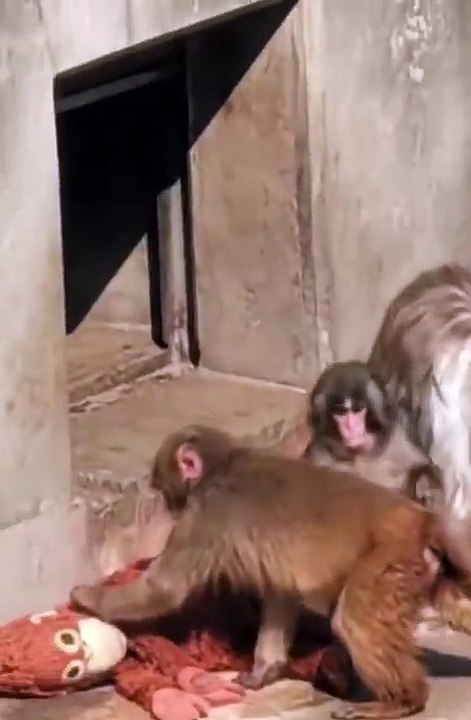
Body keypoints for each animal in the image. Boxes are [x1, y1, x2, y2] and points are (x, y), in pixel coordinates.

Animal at [70, 426, 471, 720]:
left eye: (164, 483)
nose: (169, 503)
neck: (225, 463)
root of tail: (422, 519)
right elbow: (280, 592)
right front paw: (266, 668)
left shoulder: (204, 513)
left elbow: (164, 589)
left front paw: (86, 597)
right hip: (418, 569)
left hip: (387, 562)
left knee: (354, 619)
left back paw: (404, 701)